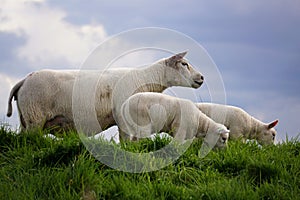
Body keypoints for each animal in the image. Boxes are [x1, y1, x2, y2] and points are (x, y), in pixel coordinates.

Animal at [7, 52, 204, 136]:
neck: (143, 78)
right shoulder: (123, 116)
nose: (201, 78)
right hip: (35, 117)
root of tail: (24, 80)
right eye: (184, 64)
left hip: (26, 119)